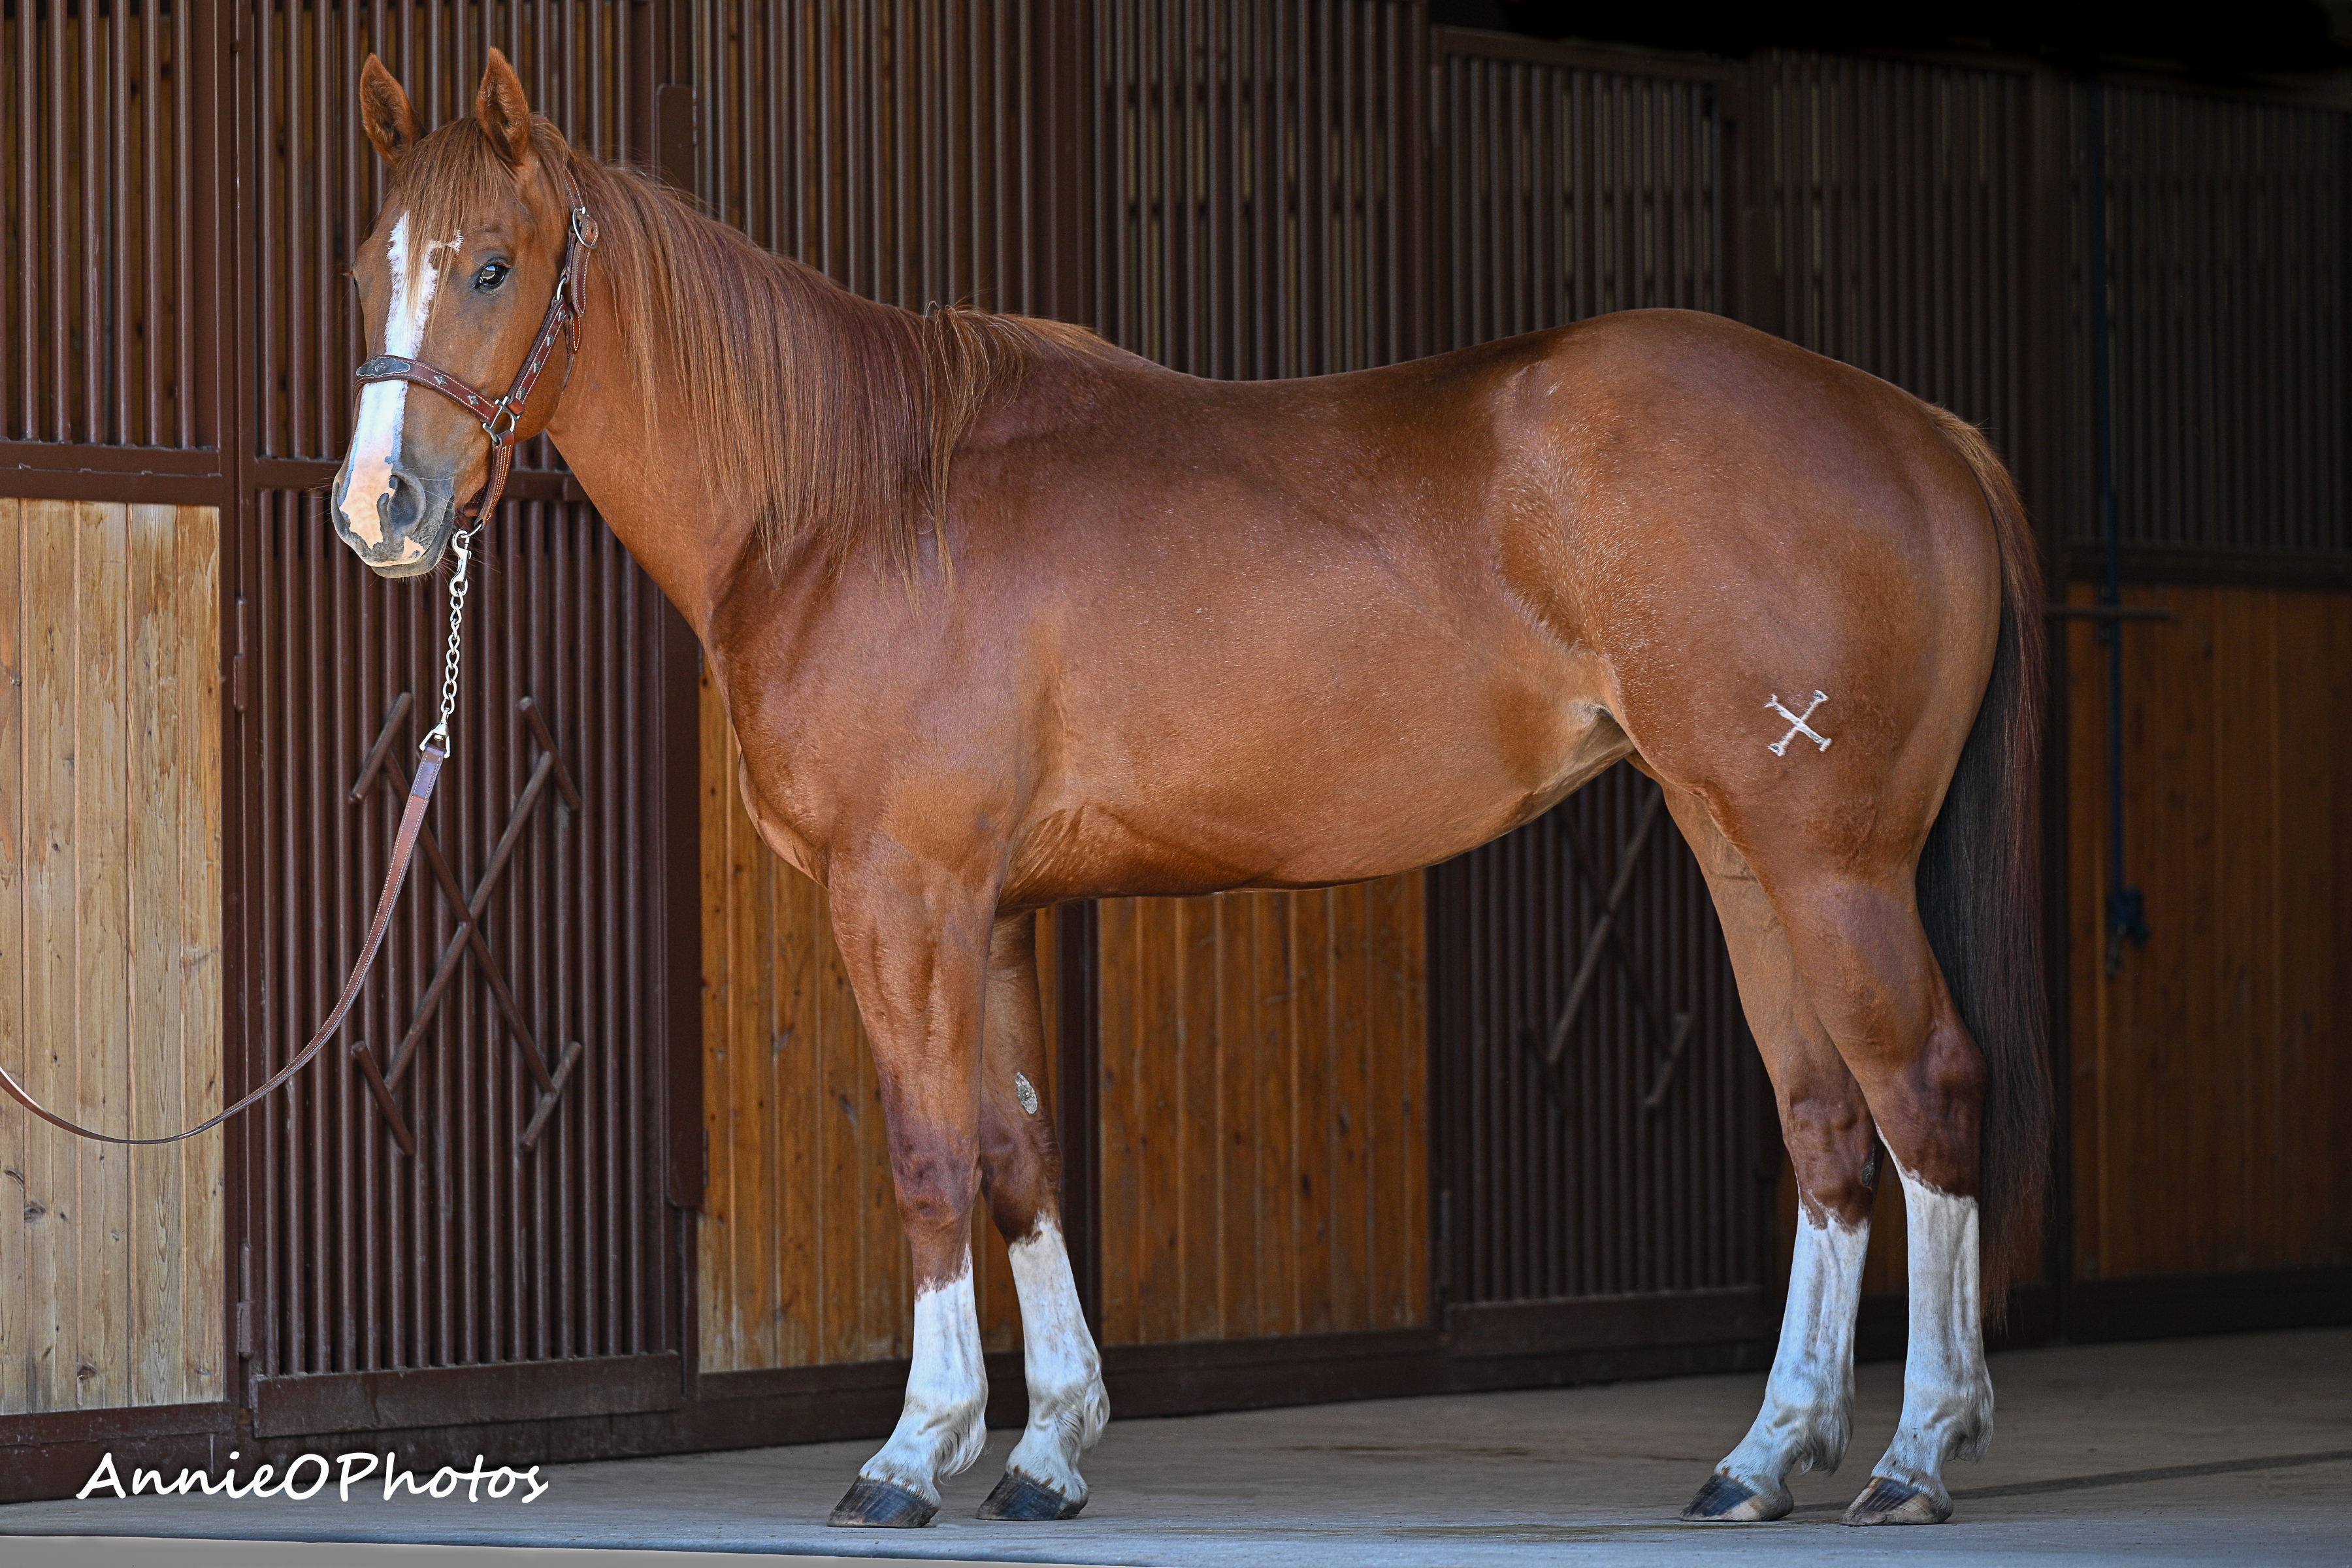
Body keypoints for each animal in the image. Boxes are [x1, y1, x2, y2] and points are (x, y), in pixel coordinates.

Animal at [341, 55, 2051, 1523]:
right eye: (370, 267)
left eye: (490, 266)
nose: (381, 509)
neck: (852, 499)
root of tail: (1927, 431)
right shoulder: (993, 911)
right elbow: (1021, 1158)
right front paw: (1045, 1449)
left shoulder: (904, 894)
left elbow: (927, 1154)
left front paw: (914, 1449)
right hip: (1743, 850)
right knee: (1826, 1122)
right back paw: (1763, 1454)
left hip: (1832, 861)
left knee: (1925, 1091)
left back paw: (1916, 1448)